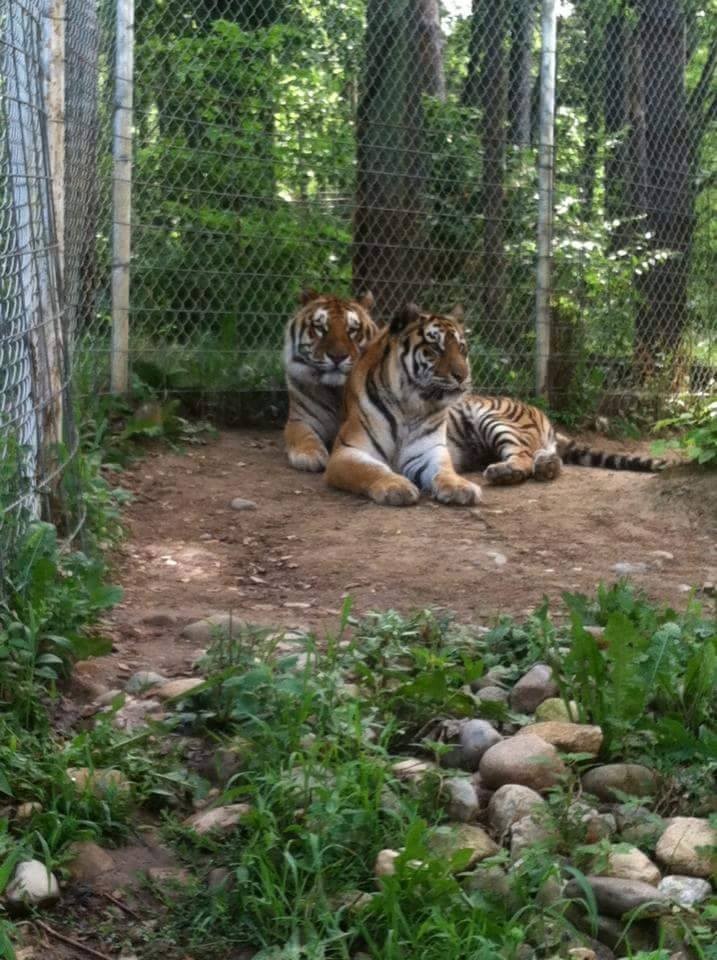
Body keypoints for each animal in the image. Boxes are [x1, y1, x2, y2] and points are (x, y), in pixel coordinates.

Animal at [283, 289, 377, 472]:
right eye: (320, 328)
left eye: (352, 330)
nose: (337, 356)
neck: (336, 391)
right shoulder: (300, 419)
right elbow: (304, 435)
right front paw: (310, 455)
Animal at [325, 303, 483, 507]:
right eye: (435, 349)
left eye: (462, 349)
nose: (463, 376)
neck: (409, 406)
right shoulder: (347, 451)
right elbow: (370, 469)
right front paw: (396, 486)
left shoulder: (428, 450)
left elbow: (444, 469)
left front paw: (460, 487)